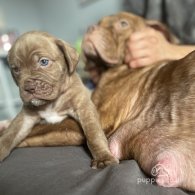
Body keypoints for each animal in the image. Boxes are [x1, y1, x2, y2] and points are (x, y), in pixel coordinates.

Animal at [0, 31, 119, 168]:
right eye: (16, 69)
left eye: (44, 62)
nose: (29, 88)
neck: (51, 102)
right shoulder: (25, 117)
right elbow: (9, 134)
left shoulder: (84, 107)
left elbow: (94, 134)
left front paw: (103, 157)